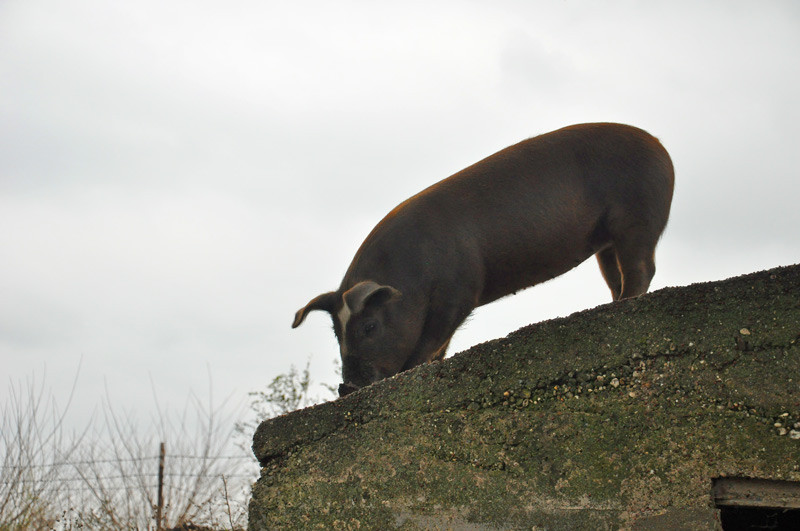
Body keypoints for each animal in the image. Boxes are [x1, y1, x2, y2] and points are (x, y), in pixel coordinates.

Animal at [292, 123, 674, 396]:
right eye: (336, 332)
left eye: (370, 326)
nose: (347, 387)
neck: (412, 274)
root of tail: (660, 146)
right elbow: (439, 346)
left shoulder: (459, 289)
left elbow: (433, 339)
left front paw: (411, 368)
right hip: (606, 241)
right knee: (618, 275)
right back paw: (613, 304)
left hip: (638, 217)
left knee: (642, 267)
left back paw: (624, 305)